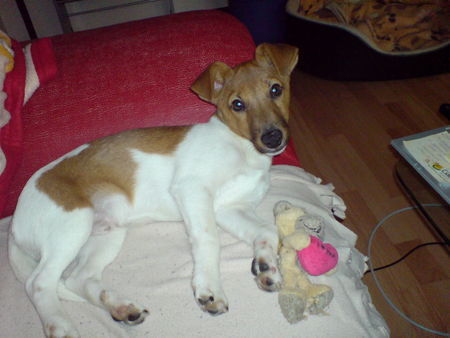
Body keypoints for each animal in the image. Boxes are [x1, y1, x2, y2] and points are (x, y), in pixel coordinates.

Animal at [7, 43, 298, 336]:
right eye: (237, 104)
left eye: (276, 89)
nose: (273, 138)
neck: (242, 148)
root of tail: (13, 226)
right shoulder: (192, 189)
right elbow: (208, 239)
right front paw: (210, 288)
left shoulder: (229, 208)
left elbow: (267, 230)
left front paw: (266, 266)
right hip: (72, 222)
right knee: (39, 282)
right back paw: (60, 325)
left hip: (106, 232)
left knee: (79, 279)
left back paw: (121, 308)